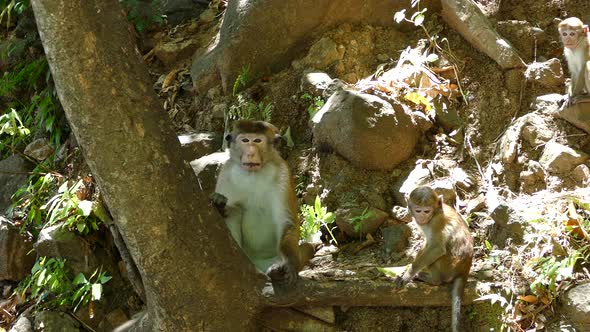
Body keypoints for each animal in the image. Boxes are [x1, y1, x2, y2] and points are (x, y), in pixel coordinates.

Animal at [212, 120, 314, 286]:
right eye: (245, 140)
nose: (250, 153)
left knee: (306, 248)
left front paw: (289, 265)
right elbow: (229, 210)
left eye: (257, 141)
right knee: (236, 211)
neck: (253, 174)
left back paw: (278, 270)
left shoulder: (282, 173)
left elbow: (286, 220)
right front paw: (219, 205)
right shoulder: (226, 173)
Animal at [398, 185, 476, 332]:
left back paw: (433, 280)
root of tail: (465, 270)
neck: (435, 213)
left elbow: (436, 248)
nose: (422, 216)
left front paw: (408, 274)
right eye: (418, 210)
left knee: (437, 257)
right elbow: (427, 243)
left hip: (448, 267)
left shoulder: (437, 222)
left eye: (427, 211)